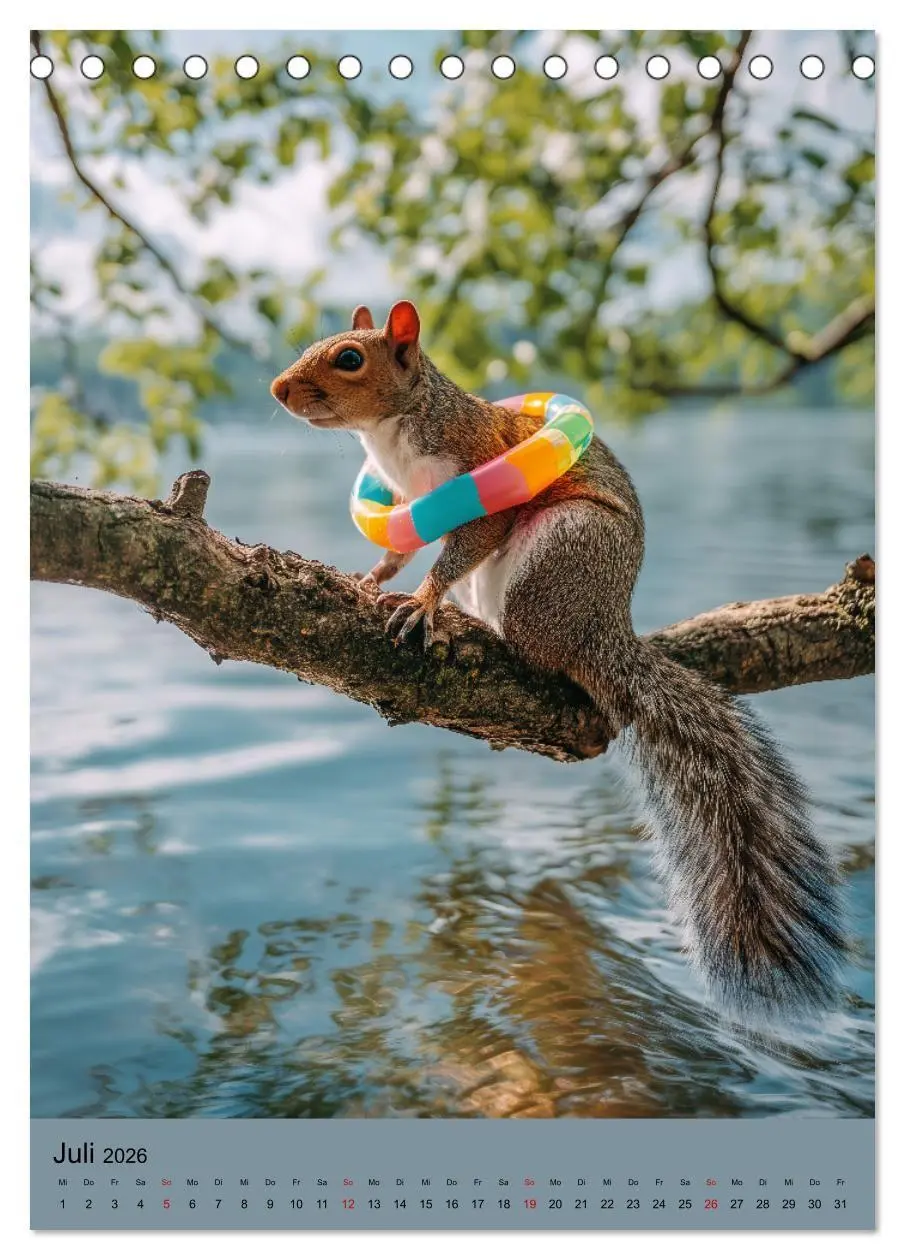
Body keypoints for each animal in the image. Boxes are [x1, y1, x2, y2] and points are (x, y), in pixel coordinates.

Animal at [271, 300, 846, 1021]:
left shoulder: (479, 473)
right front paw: (370, 578)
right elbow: (399, 550)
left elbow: (456, 551)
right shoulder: (407, 507)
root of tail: (606, 627)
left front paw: (424, 603)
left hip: (553, 558)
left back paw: (479, 630)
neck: (393, 435)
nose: (278, 390)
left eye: (349, 358)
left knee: (539, 649)